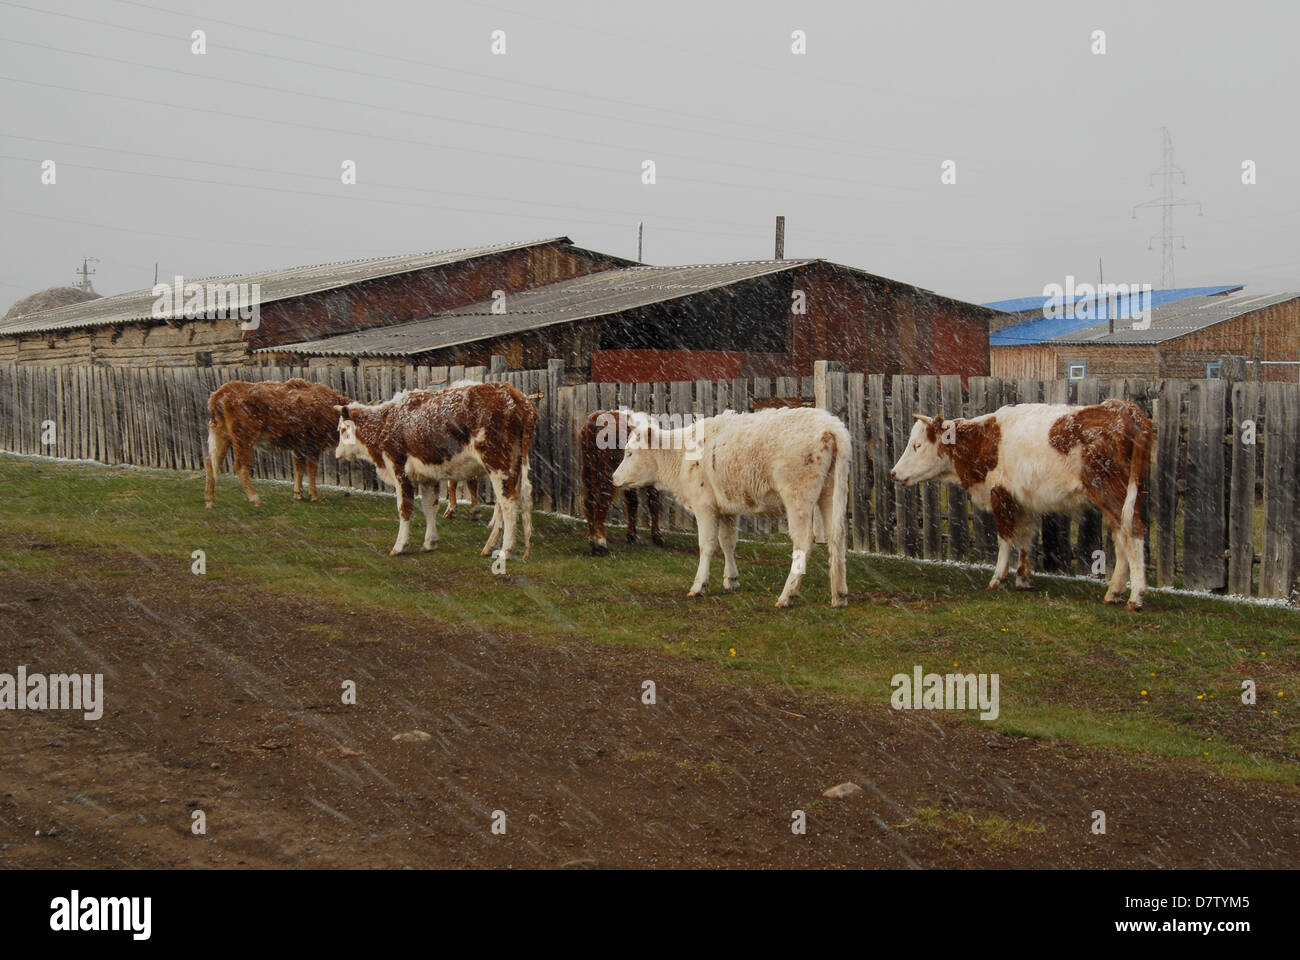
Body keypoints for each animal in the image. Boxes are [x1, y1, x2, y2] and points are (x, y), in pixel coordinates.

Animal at [201, 377, 348, 509]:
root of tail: (219, 393)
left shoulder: (299, 447)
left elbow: (298, 468)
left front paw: (298, 494)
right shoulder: (314, 445)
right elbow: (311, 470)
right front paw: (315, 496)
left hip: (222, 435)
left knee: (211, 462)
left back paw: (210, 501)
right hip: (244, 438)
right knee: (240, 466)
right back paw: (256, 500)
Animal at [338, 379, 540, 561]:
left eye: (342, 429)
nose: (337, 453)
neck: (386, 422)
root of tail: (517, 397)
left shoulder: (400, 471)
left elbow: (404, 509)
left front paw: (400, 546)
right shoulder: (428, 477)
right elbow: (430, 507)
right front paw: (430, 543)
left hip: (497, 463)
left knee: (508, 503)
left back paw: (506, 550)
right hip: (512, 466)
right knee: (503, 502)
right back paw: (490, 546)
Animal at [579, 405, 660, 554]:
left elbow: (633, 502)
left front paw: (631, 535)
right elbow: (653, 502)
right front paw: (657, 537)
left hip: (588, 467)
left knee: (588, 499)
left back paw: (593, 539)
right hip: (607, 472)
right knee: (602, 501)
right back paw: (600, 543)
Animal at [611, 405, 852, 606]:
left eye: (629, 453)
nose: (613, 478)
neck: (681, 456)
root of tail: (831, 426)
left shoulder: (704, 505)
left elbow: (707, 545)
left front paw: (699, 585)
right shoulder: (727, 508)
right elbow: (727, 542)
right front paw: (731, 579)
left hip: (798, 496)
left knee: (803, 542)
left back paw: (786, 596)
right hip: (830, 491)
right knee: (836, 536)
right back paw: (839, 595)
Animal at [889, 398, 1154, 608]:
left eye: (917, 445)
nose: (893, 473)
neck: (984, 441)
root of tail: (1125, 408)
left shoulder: (1001, 494)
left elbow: (1006, 538)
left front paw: (998, 578)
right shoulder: (1024, 501)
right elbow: (1026, 536)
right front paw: (1023, 579)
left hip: (1110, 491)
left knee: (1133, 531)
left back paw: (1136, 597)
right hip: (1127, 495)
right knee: (1121, 536)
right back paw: (1114, 592)